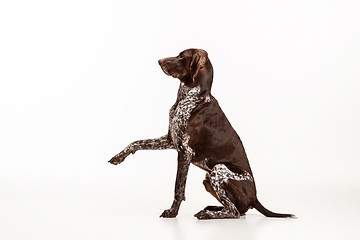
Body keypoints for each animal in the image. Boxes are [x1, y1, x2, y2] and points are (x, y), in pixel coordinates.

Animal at [109, 48, 296, 219]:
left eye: (182, 56)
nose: (159, 61)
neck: (191, 97)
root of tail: (255, 198)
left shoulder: (185, 152)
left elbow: (178, 187)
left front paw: (172, 212)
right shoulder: (171, 140)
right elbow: (137, 142)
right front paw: (118, 157)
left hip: (218, 169)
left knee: (235, 212)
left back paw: (207, 214)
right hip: (208, 178)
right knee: (238, 210)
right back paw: (212, 208)